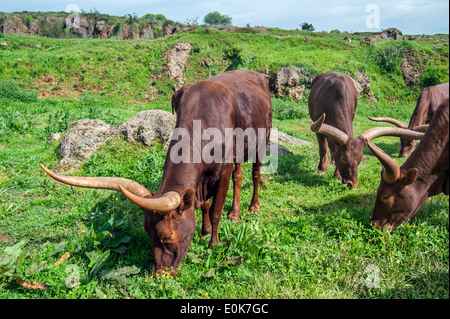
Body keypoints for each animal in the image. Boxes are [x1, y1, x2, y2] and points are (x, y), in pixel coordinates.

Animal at [40, 69, 270, 276]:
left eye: (167, 237)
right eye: (148, 234)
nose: (160, 273)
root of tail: (257, 75)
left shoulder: (222, 171)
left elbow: (214, 211)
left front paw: (213, 244)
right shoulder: (202, 181)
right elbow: (204, 205)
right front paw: (204, 232)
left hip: (261, 141)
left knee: (254, 174)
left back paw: (253, 206)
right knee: (238, 177)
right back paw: (234, 212)